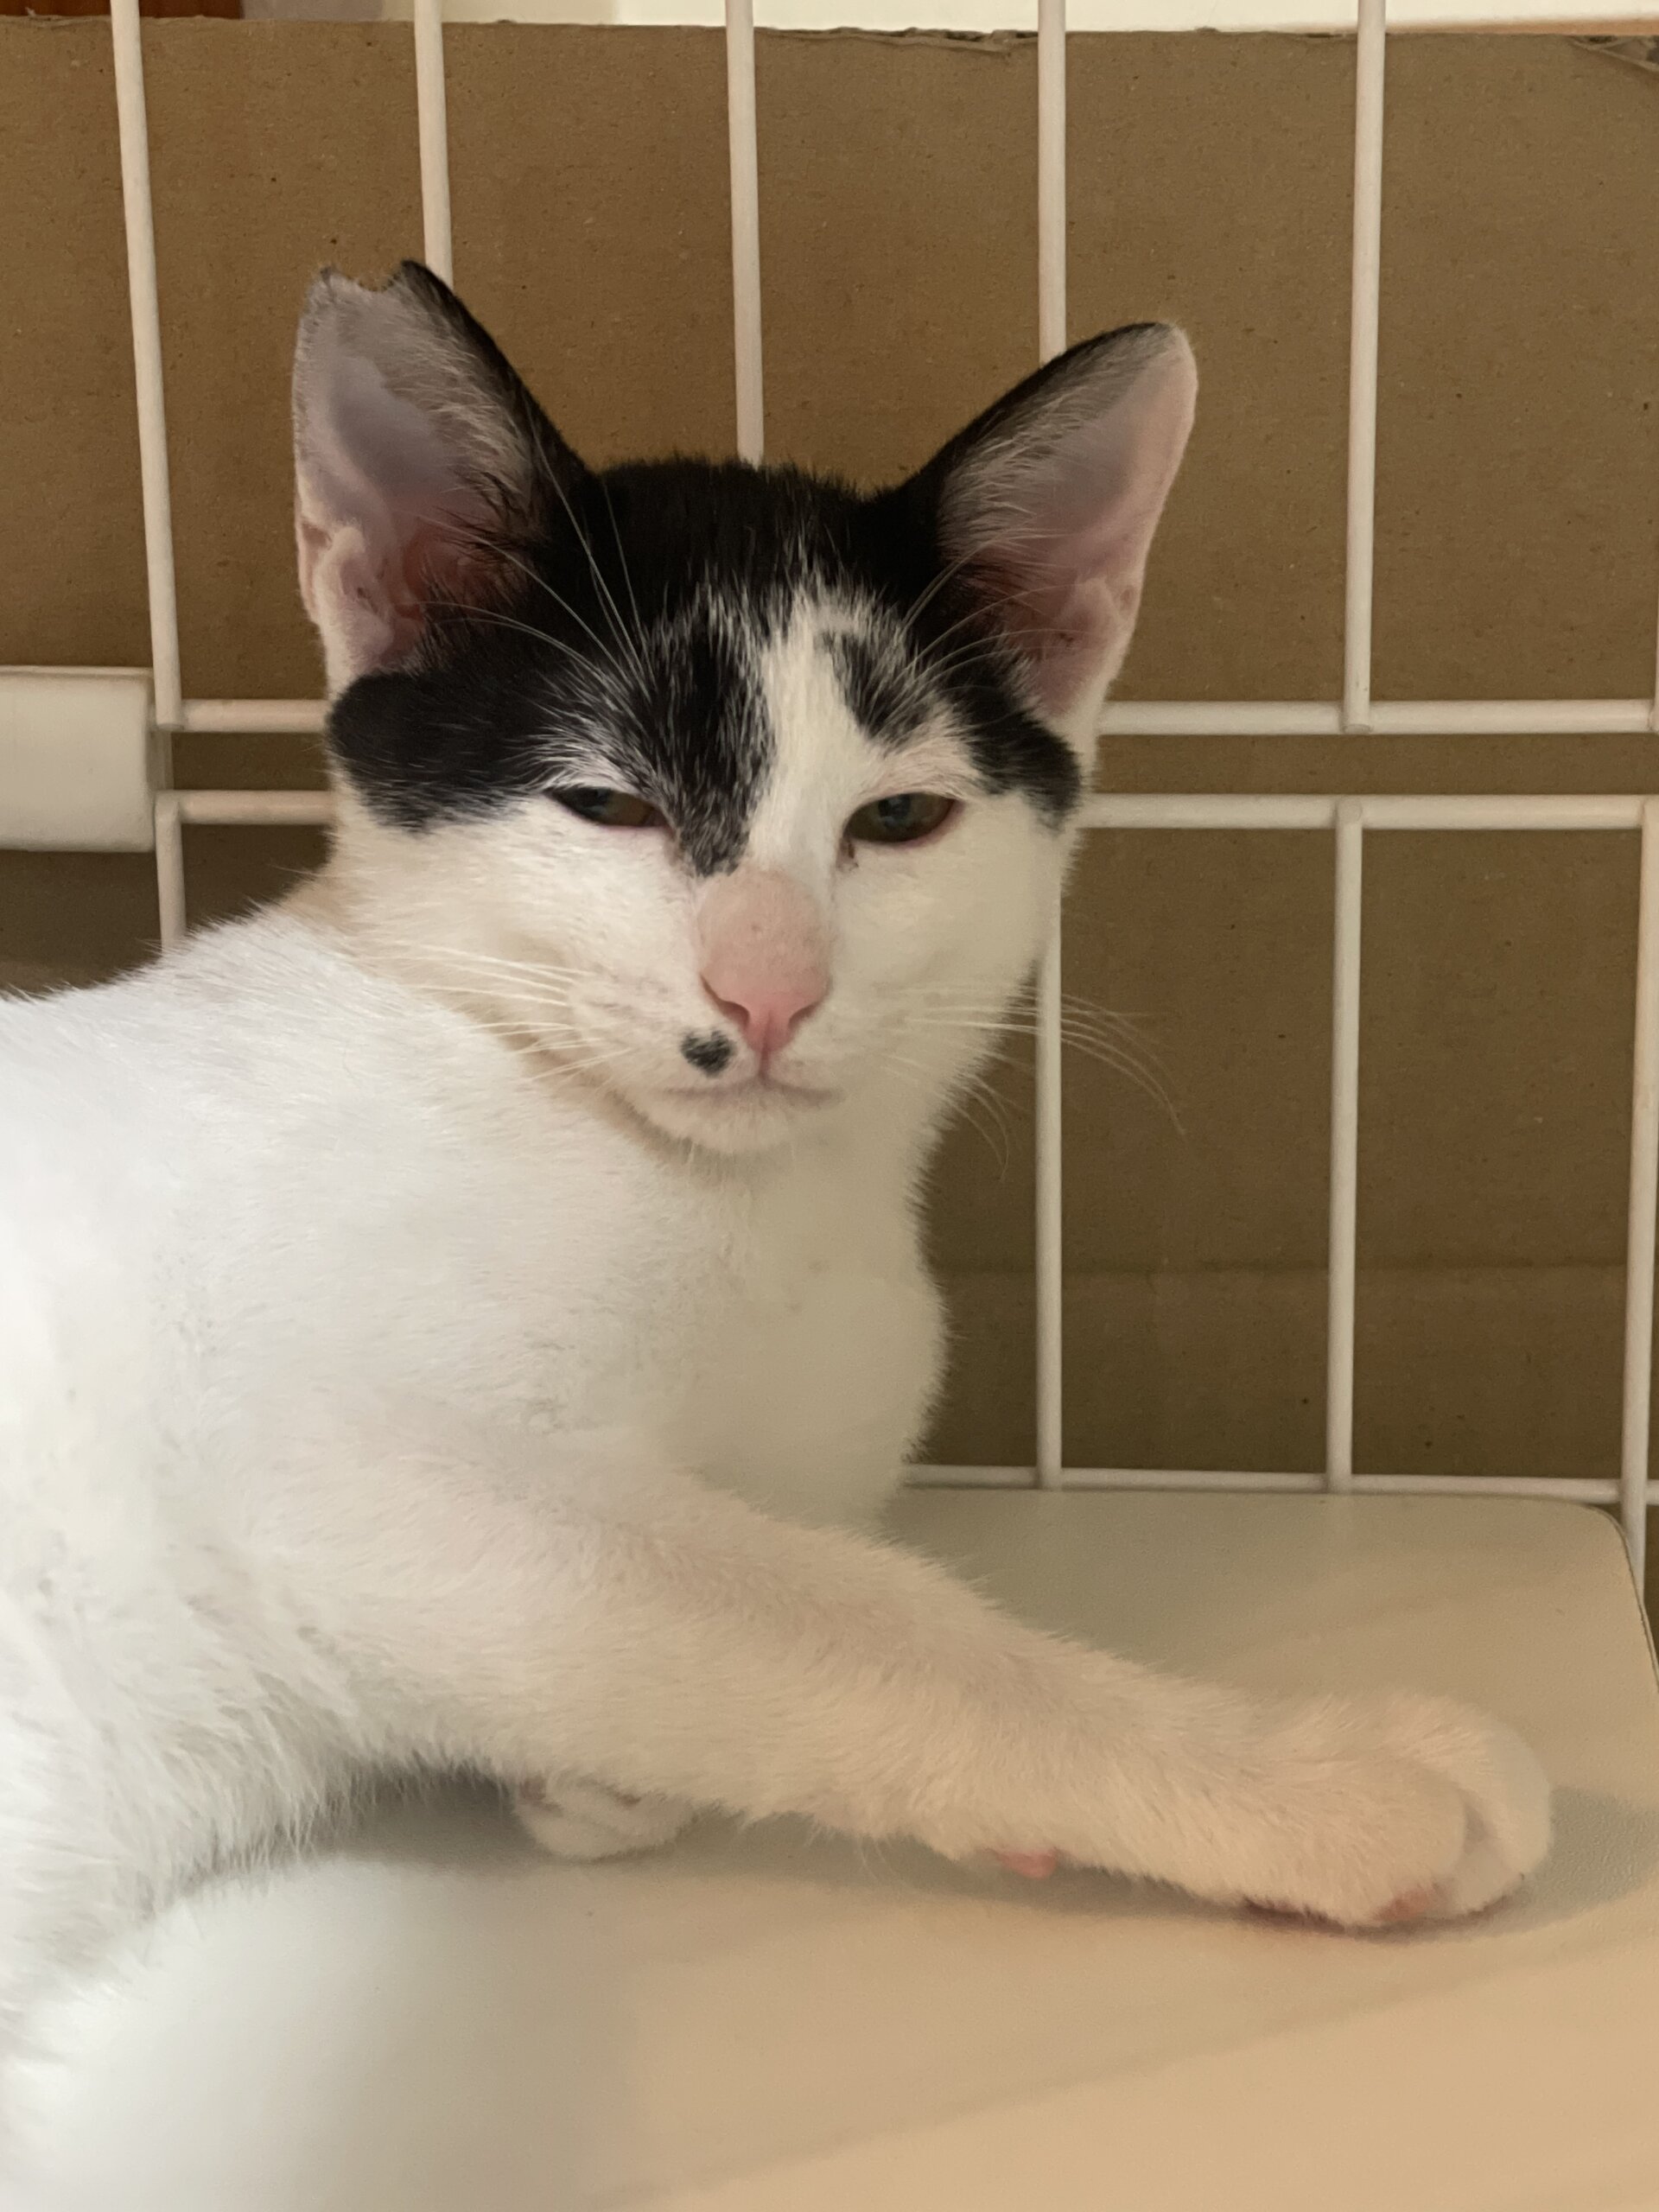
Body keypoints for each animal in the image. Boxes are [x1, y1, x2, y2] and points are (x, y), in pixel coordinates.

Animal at [0, 261, 1549, 2086]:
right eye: (606, 803)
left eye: (899, 821)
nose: (767, 991)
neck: (761, 1213)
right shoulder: (361, 1463)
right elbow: (844, 1623)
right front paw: (1306, 1776)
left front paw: (592, 1785)